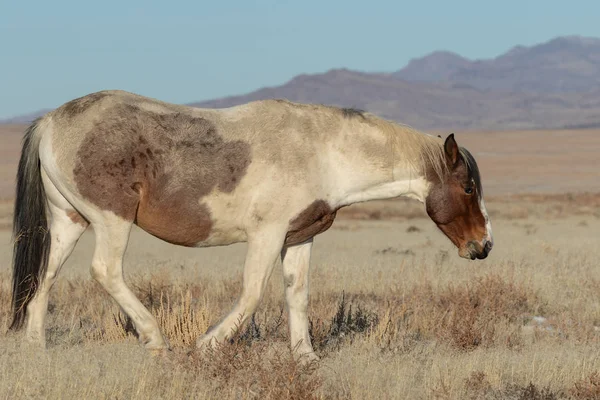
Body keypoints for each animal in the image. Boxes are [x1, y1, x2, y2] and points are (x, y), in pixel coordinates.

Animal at [11, 90, 494, 360]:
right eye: (469, 187)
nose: (484, 246)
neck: (322, 153)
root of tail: (51, 121)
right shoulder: (268, 234)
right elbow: (253, 293)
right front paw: (207, 346)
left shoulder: (299, 237)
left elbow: (297, 294)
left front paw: (306, 358)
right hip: (112, 220)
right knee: (106, 272)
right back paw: (156, 338)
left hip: (69, 219)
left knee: (45, 276)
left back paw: (35, 346)